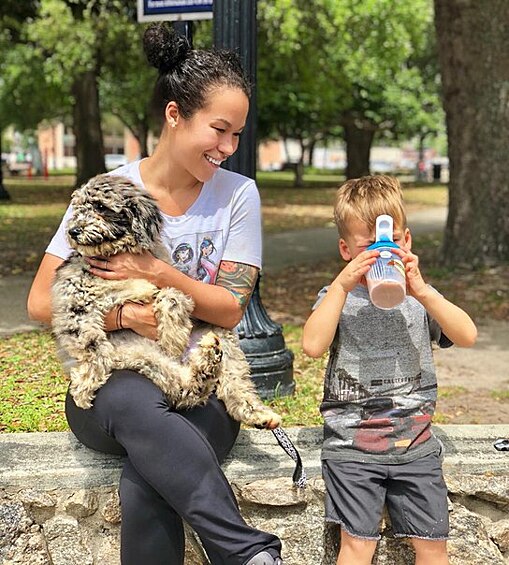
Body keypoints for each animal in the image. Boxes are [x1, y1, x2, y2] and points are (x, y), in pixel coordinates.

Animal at [52, 173, 282, 428]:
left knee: (233, 384)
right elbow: (93, 347)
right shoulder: (74, 303)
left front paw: (173, 337)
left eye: (101, 206)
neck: (115, 253)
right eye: (78, 207)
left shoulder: (162, 277)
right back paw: (207, 364)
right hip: (145, 359)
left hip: (221, 338)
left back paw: (255, 410)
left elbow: (172, 295)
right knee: (185, 390)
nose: (73, 231)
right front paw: (85, 385)